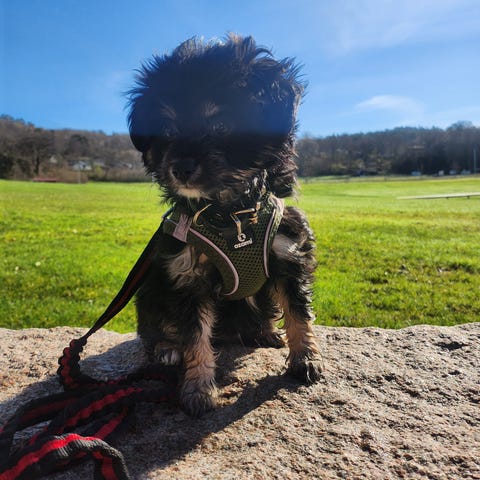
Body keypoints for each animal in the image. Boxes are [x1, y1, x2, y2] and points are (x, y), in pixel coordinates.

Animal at [127, 34, 322, 416]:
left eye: (221, 125)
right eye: (167, 130)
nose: (180, 167)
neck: (231, 213)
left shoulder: (289, 254)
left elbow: (298, 312)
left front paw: (305, 359)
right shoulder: (186, 273)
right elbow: (195, 337)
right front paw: (198, 389)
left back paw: (265, 332)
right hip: (151, 287)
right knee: (157, 328)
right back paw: (166, 348)